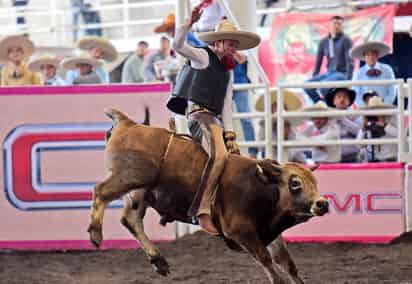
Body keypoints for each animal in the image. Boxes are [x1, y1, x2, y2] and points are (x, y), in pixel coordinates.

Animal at [87, 108, 328, 284]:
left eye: (315, 183)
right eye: (295, 183)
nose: (322, 203)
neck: (261, 188)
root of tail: (128, 124)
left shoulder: (271, 234)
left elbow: (288, 265)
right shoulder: (242, 232)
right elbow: (268, 263)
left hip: (140, 190)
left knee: (130, 219)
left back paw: (158, 260)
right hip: (129, 177)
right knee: (100, 192)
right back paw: (96, 233)